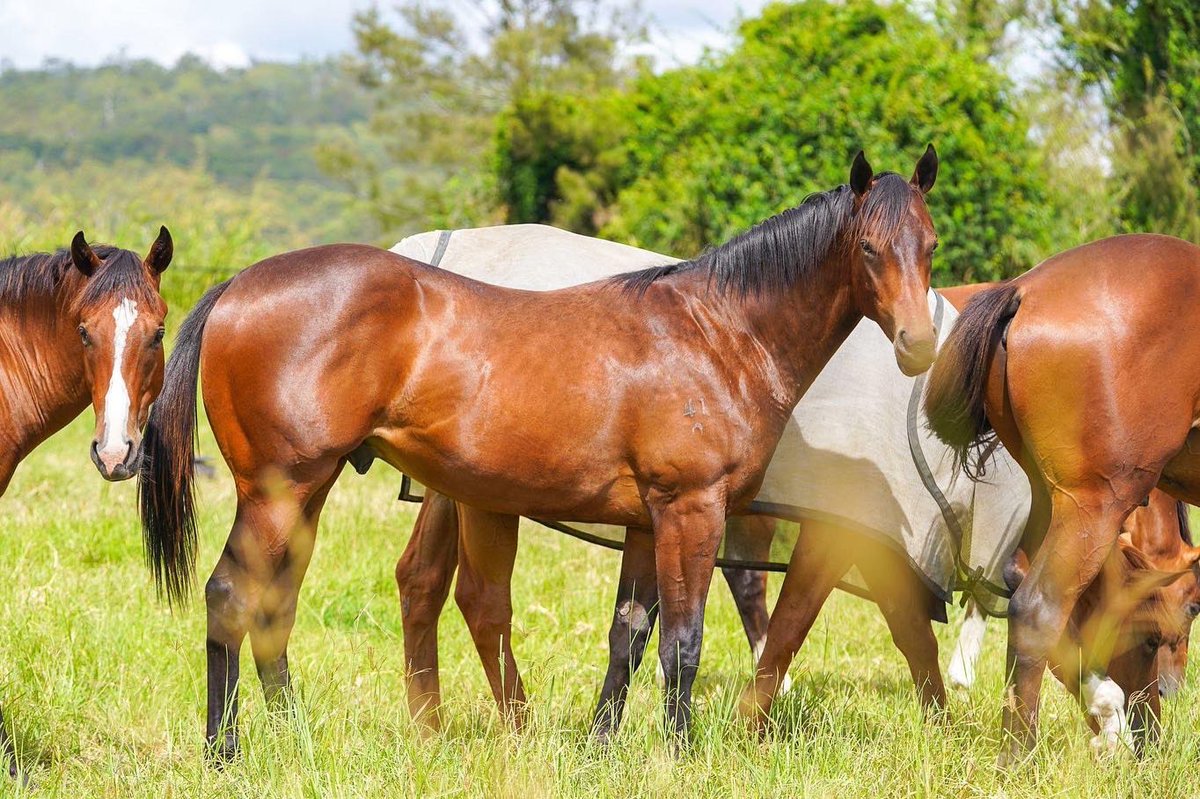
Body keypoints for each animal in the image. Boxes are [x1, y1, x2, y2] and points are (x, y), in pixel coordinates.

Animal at [140, 146, 940, 758]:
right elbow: (683, 642)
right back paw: (225, 749)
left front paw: (602, 746)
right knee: (231, 595)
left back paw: (294, 734)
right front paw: (680, 754)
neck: (716, 331)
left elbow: (630, 637)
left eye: (929, 245)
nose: (918, 346)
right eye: (869, 248)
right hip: (279, 491)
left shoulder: (645, 523)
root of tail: (240, 284)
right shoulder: (690, 511)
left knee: (274, 604)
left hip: (309, 492)